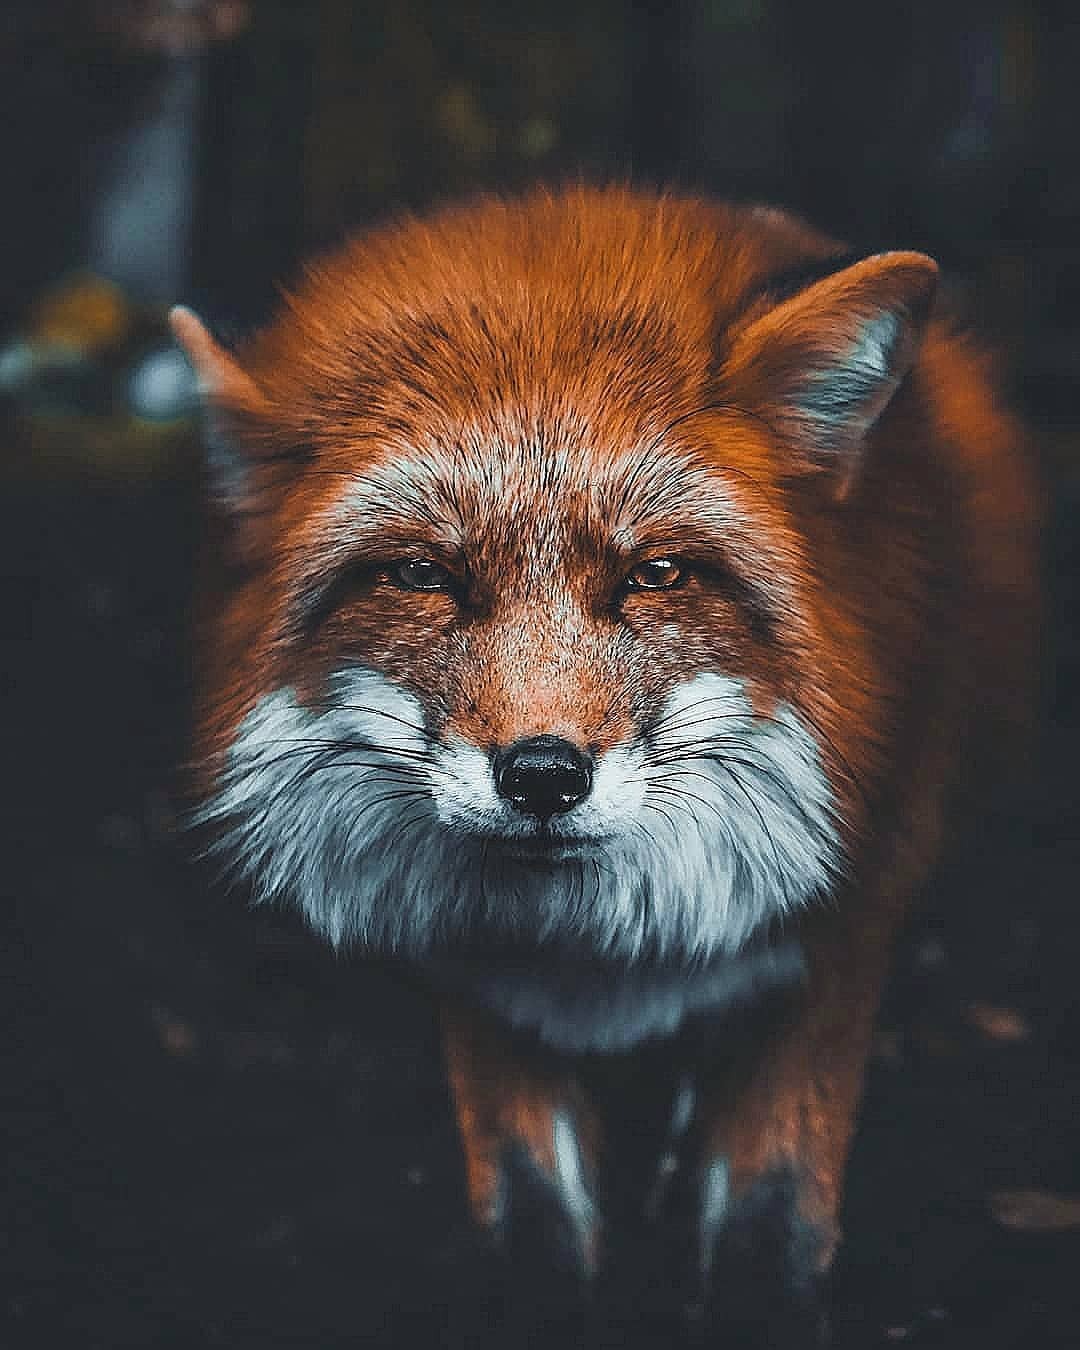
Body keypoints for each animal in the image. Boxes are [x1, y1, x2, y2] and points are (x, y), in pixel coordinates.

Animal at [172, 185, 1041, 1344]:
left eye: (656, 574)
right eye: (423, 576)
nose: (543, 775)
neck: (591, 948)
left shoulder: (842, 932)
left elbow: (771, 1211)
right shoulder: (475, 977)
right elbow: (533, 1207)